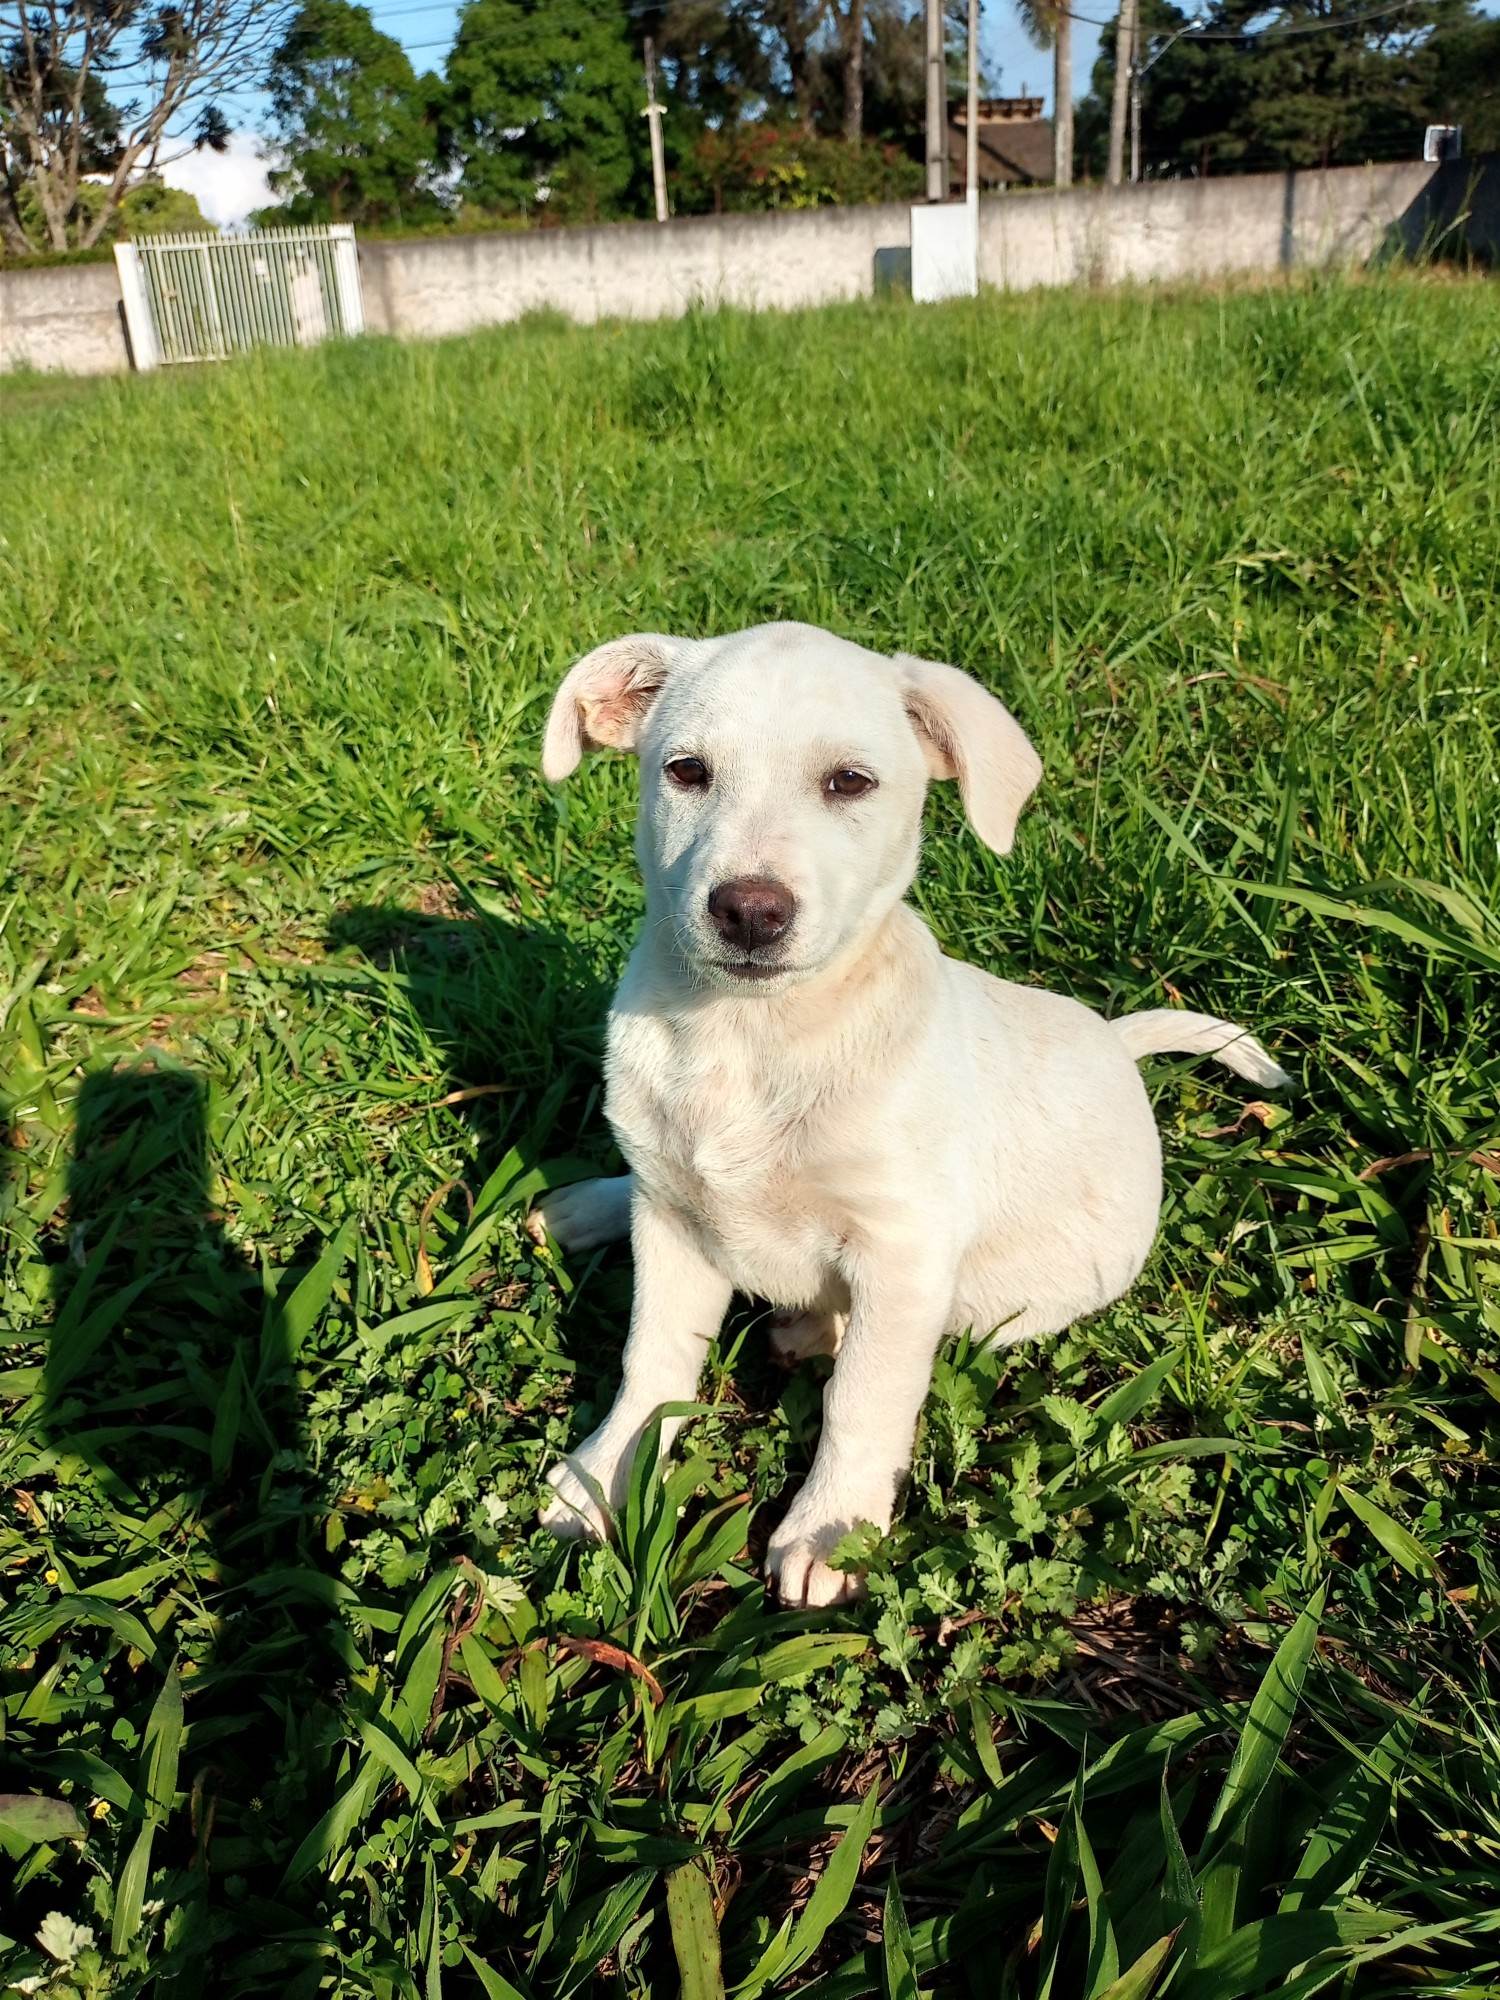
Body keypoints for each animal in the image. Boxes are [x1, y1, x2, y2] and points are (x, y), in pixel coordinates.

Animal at [532, 624, 1296, 1608]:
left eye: (850, 783)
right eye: (687, 771)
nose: (749, 911)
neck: (754, 1038)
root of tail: (1117, 1045)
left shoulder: (902, 1252)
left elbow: (865, 1397)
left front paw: (831, 1528)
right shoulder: (672, 1226)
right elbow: (651, 1362)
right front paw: (602, 1477)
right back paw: (589, 1204)